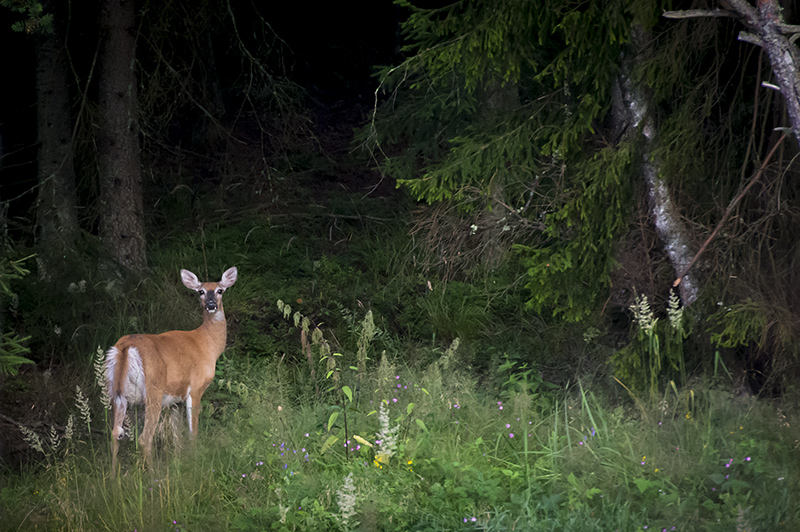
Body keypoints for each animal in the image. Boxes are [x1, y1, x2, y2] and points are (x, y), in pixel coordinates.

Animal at [104, 266, 238, 477]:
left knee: (115, 433)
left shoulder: (175, 400)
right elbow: (193, 432)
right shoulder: (196, 387)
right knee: (144, 438)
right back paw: (153, 477)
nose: (210, 305)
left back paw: (112, 478)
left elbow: (177, 438)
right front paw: (194, 462)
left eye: (220, 290)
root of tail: (126, 347)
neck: (207, 344)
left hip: (117, 392)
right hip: (154, 389)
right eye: (200, 291)